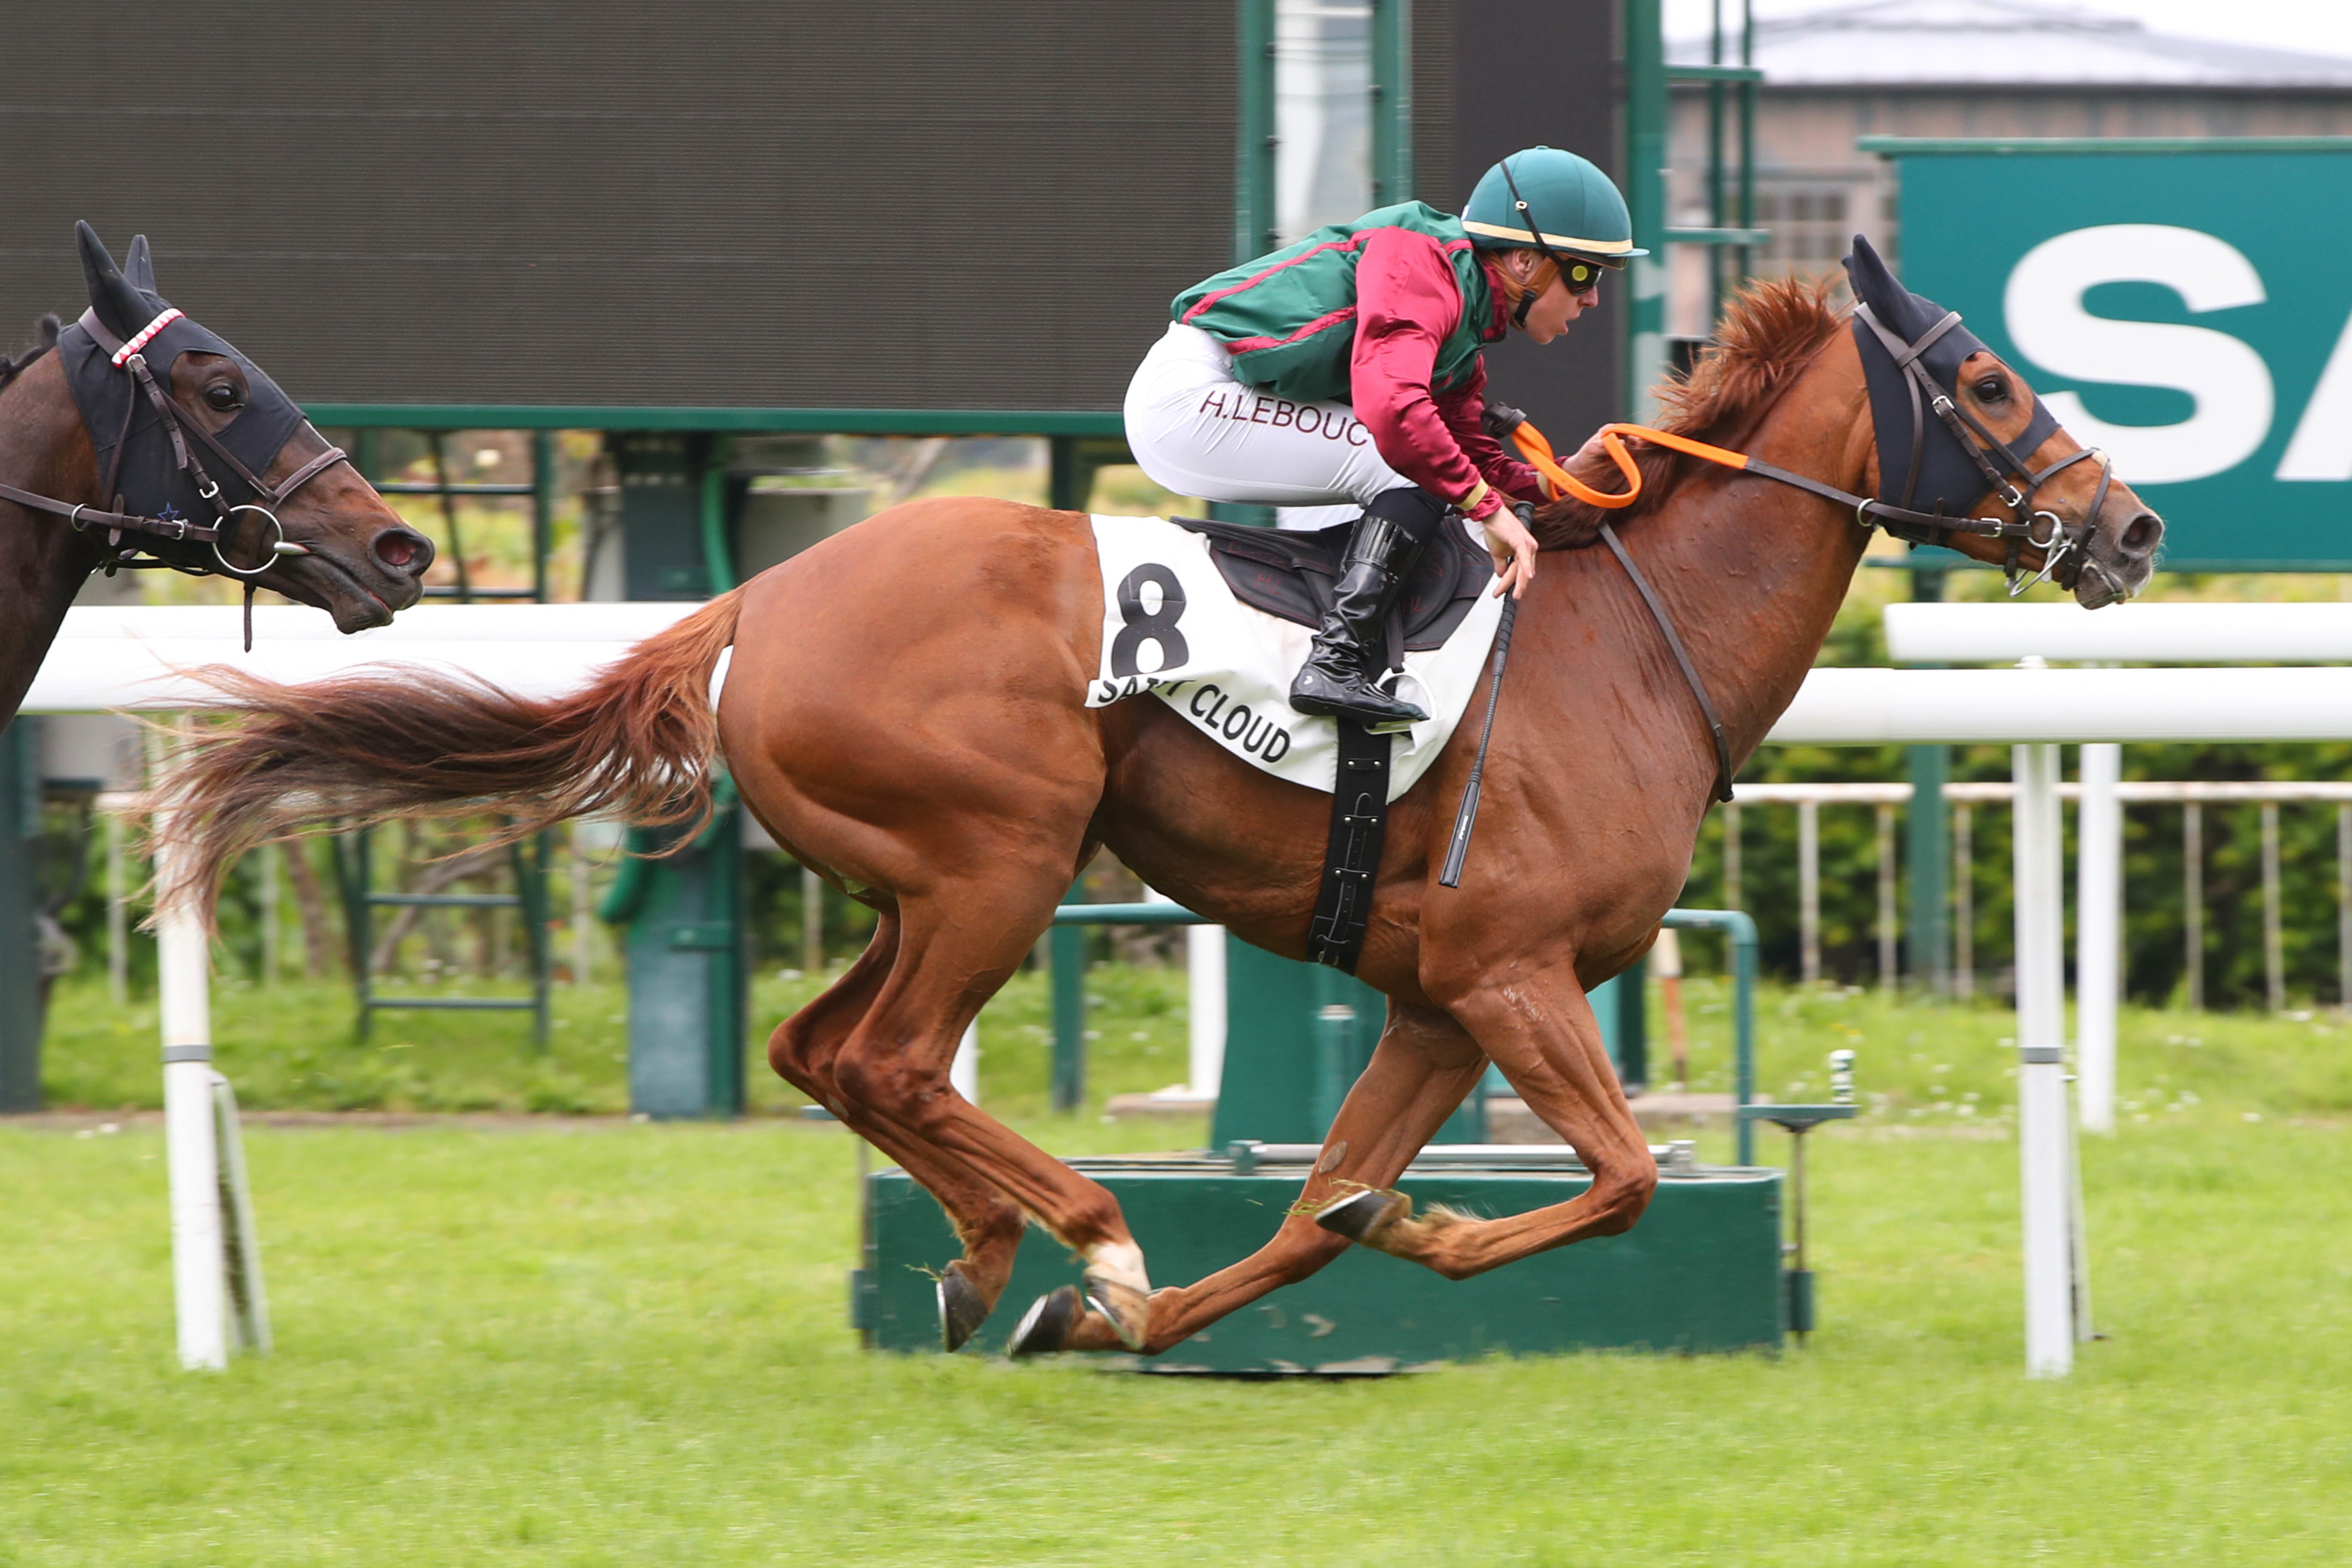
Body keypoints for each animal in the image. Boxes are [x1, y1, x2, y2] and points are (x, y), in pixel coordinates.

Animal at [156, 282, 2154, 1363]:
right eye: (1988, 384)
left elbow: (1317, 1214)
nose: (2130, 529)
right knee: (886, 1060)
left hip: (917, 881)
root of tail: (752, 604)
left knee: (824, 1052)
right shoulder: (1511, 975)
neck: (1626, 640)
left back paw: (996, 1262)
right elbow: (1618, 1180)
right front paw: (1396, 1242)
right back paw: (1077, 1226)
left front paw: (1146, 1313)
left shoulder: (1438, 1002)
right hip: (1001, 861)